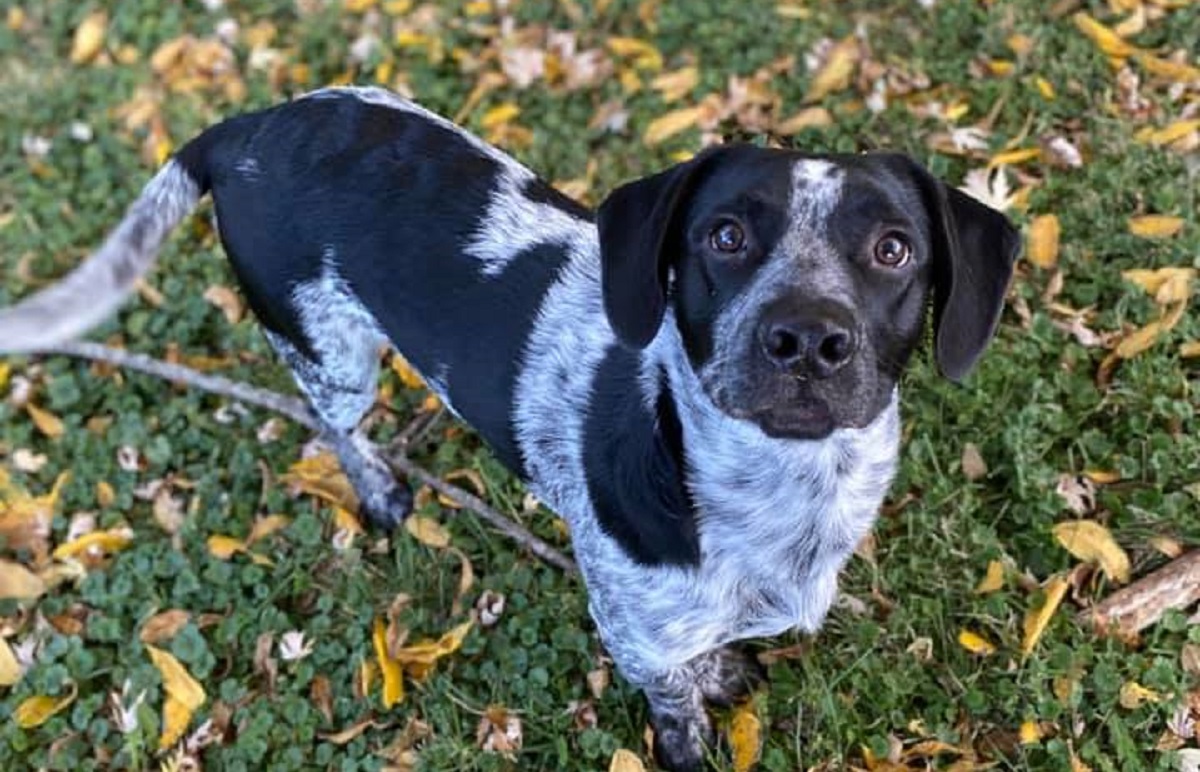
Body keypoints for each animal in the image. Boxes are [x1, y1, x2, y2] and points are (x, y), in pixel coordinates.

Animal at [0, 87, 1017, 768]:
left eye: (894, 249)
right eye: (725, 236)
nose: (807, 338)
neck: (783, 493)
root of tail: (246, 128)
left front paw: (723, 669)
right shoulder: (637, 638)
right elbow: (678, 711)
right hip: (331, 356)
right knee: (333, 428)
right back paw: (380, 492)